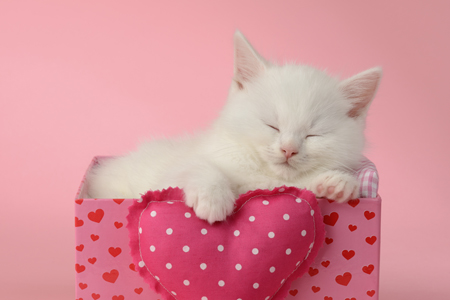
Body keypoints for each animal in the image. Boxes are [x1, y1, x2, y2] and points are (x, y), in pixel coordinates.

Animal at [85, 31, 384, 223]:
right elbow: (194, 167)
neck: (262, 175)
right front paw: (213, 197)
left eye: (313, 134)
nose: (289, 150)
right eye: (272, 125)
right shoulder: (174, 174)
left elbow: (302, 186)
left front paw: (336, 183)